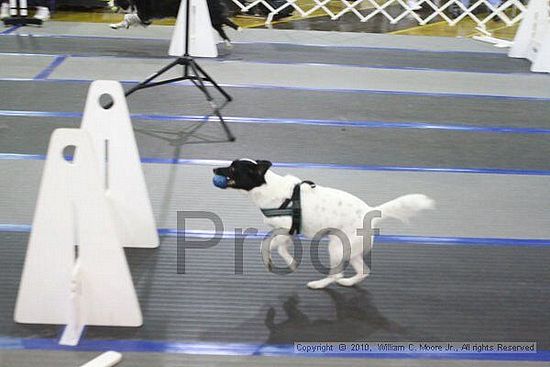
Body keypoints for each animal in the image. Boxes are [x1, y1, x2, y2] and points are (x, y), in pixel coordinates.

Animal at [215, 160, 436, 288]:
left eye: (233, 168)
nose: (214, 168)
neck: (267, 188)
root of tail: (370, 212)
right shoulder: (289, 232)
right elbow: (280, 247)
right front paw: (290, 262)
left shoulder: (287, 229)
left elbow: (270, 244)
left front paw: (274, 259)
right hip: (350, 250)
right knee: (362, 271)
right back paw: (348, 282)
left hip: (336, 248)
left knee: (337, 274)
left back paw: (318, 284)